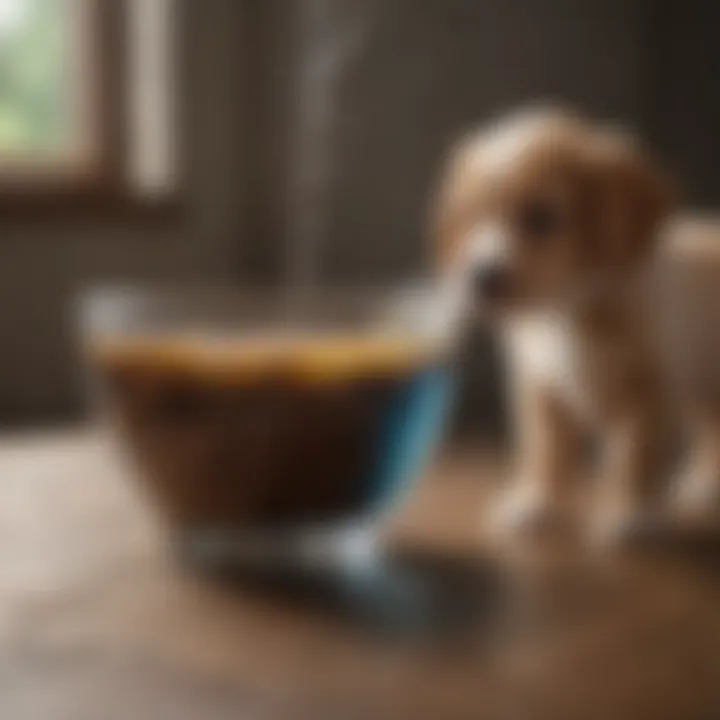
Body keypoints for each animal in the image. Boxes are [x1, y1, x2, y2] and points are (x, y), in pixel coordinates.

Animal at [434, 108, 720, 544]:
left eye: (542, 217)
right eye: (472, 216)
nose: (481, 276)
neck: (569, 310)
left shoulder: (650, 397)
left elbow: (636, 459)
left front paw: (630, 515)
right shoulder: (541, 388)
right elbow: (546, 453)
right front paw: (537, 504)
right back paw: (703, 484)